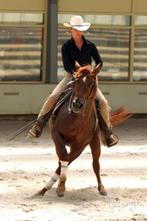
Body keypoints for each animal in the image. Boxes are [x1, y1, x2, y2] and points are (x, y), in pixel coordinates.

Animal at [36, 63, 132, 198]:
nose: (77, 104)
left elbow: (67, 159)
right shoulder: (56, 135)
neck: (76, 119)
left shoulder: (81, 144)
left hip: (94, 141)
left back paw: (101, 188)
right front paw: (53, 187)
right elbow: (64, 157)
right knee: (63, 158)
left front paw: (59, 186)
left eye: (92, 84)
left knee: (95, 164)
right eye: (76, 82)